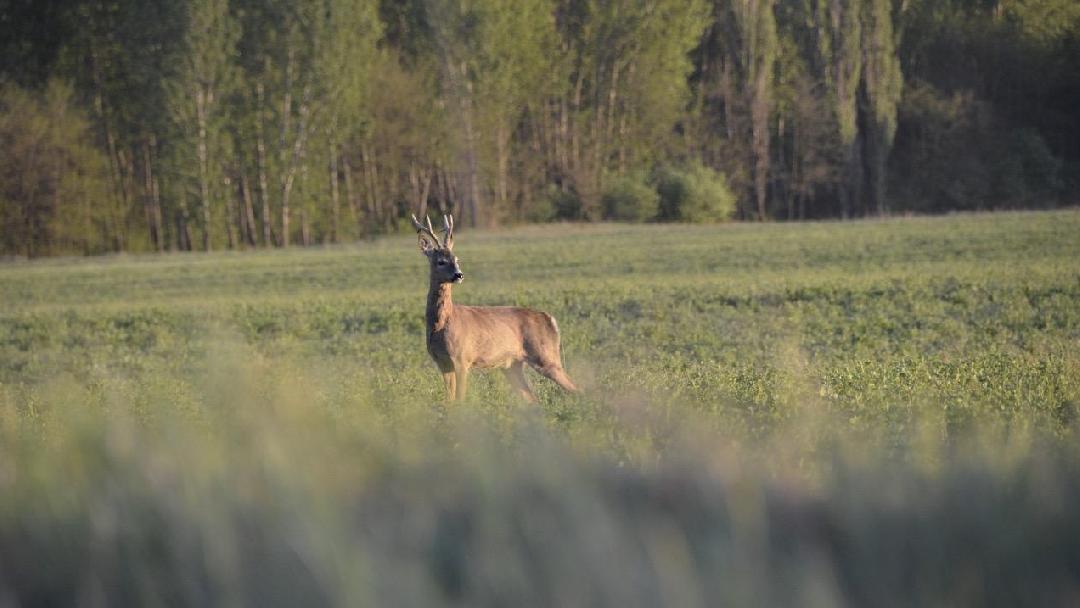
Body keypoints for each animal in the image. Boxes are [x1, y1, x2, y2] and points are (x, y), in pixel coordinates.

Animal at [410, 214, 578, 403]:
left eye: (457, 259)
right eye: (441, 261)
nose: (459, 275)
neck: (442, 324)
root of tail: (550, 319)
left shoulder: (462, 358)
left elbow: (460, 400)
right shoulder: (442, 363)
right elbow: (450, 401)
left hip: (546, 355)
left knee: (576, 388)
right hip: (512, 365)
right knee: (533, 398)